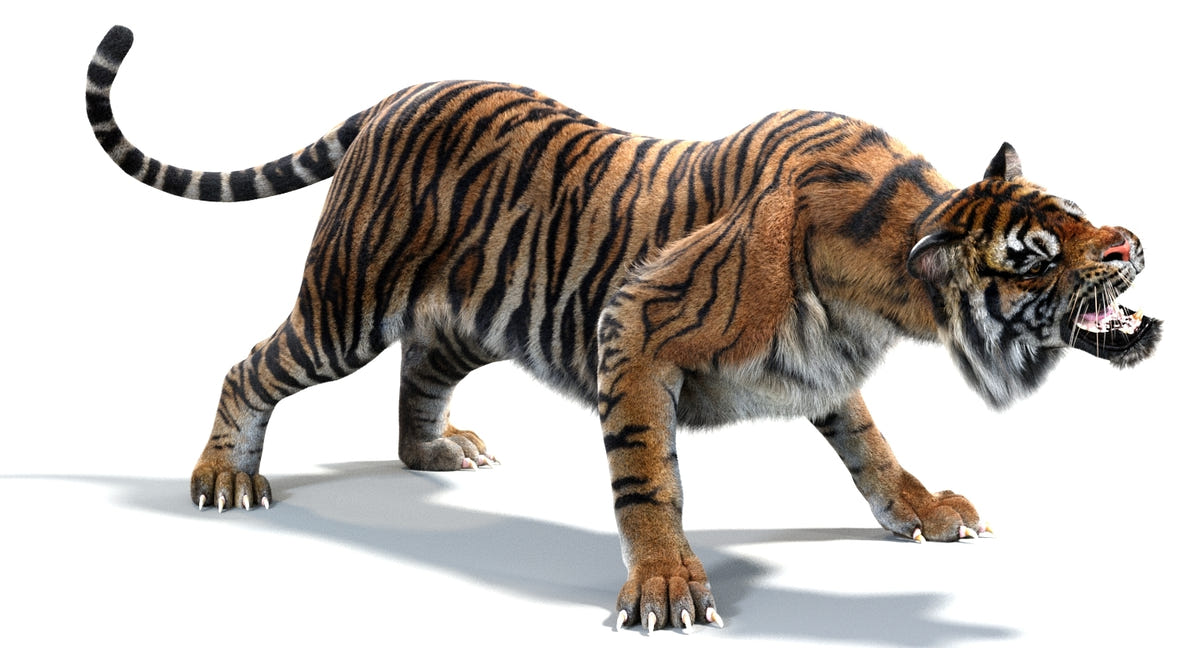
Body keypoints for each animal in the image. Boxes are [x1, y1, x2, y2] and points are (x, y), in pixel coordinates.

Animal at [86, 25, 1161, 632]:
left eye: (1075, 213)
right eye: (1036, 254)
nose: (1131, 242)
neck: (888, 291)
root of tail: (398, 94)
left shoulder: (824, 371)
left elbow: (872, 448)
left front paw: (925, 511)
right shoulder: (634, 328)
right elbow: (650, 479)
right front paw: (666, 590)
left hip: (476, 310)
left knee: (420, 369)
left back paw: (436, 452)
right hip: (346, 304)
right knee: (252, 366)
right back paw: (226, 477)